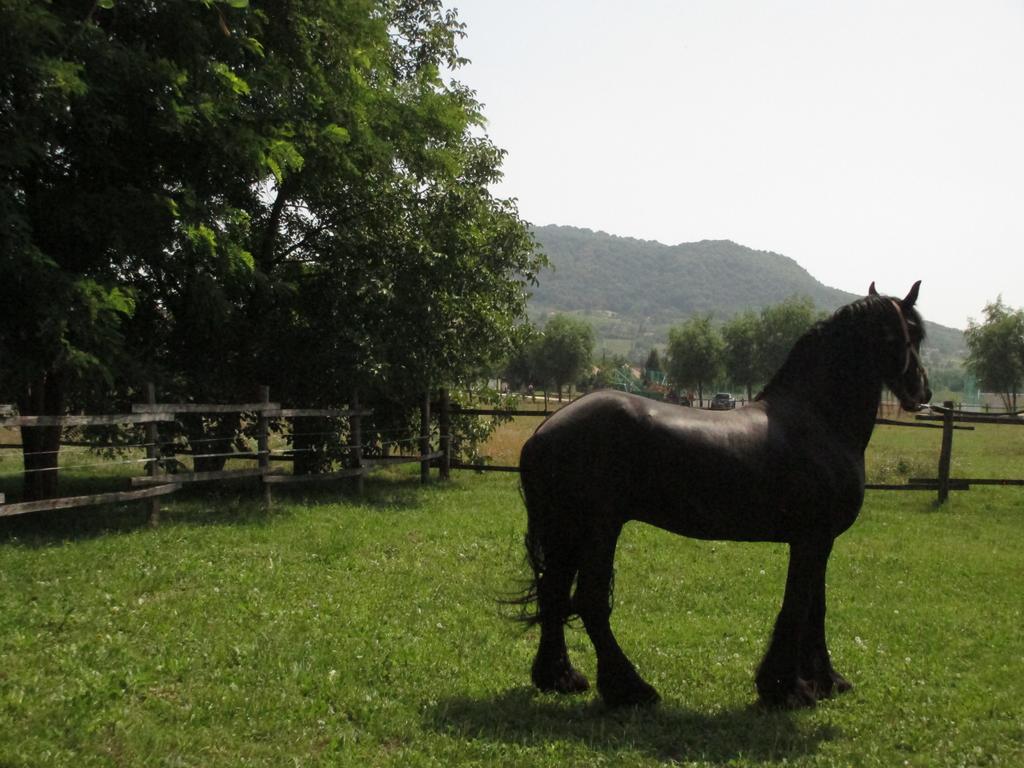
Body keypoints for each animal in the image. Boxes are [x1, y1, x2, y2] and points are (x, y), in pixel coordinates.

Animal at [516, 282, 933, 708]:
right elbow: (799, 606)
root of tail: (544, 431)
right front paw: (786, 687)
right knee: (590, 600)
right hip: (598, 529)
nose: (922, 390)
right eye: (911, 333)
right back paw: (631, 688)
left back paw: (560, 677)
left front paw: (825, 680)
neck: (817, 420)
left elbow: (816, 606)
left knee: (553, 592)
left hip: (567, 532)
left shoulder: (818, 540)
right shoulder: (811, 539)